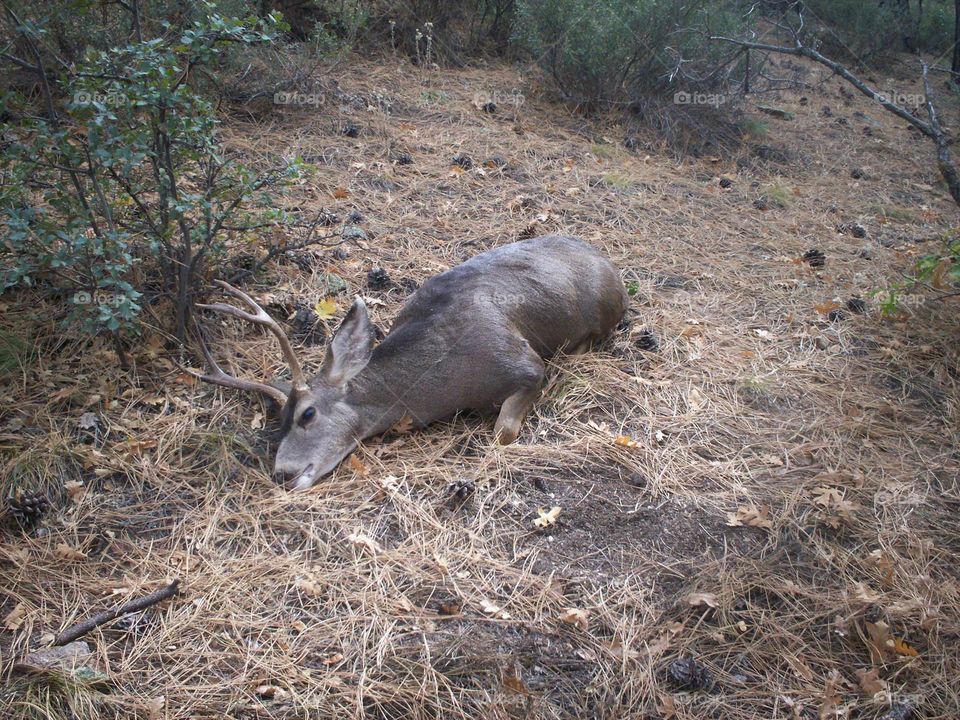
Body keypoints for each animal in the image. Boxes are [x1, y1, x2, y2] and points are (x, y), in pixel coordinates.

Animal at [192, 234, 627, 490]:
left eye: (308, 414)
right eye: (278, 422)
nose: (282, 474)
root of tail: (611, 265)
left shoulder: (522, 363)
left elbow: (503, 431)